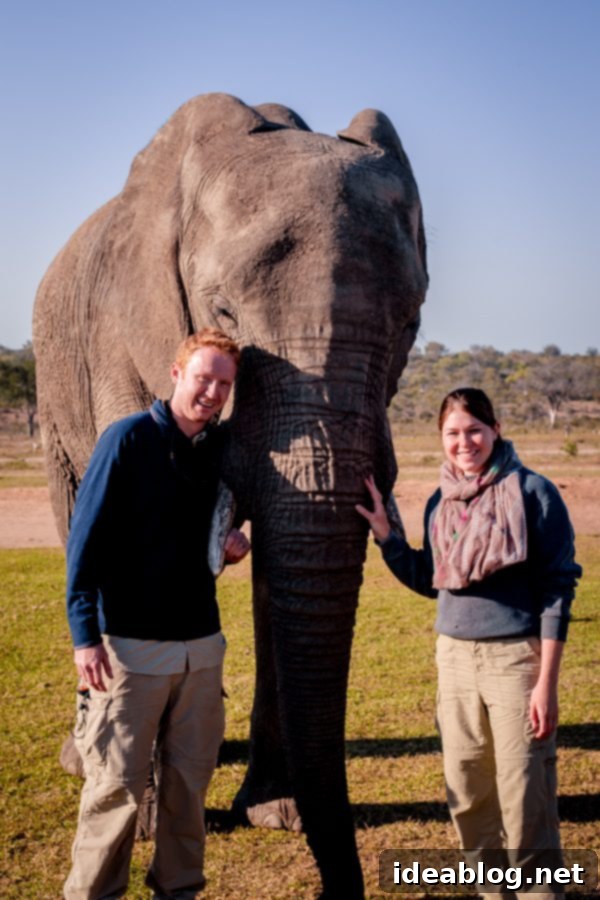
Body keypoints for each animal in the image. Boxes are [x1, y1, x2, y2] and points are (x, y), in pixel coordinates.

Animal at [33, 93, 428, 898]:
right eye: (223, 315)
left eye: (410, 322)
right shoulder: (122, 335)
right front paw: (143, 825)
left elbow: (282, 571)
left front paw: (276, 813)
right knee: (73, 531)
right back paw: (84, 756)